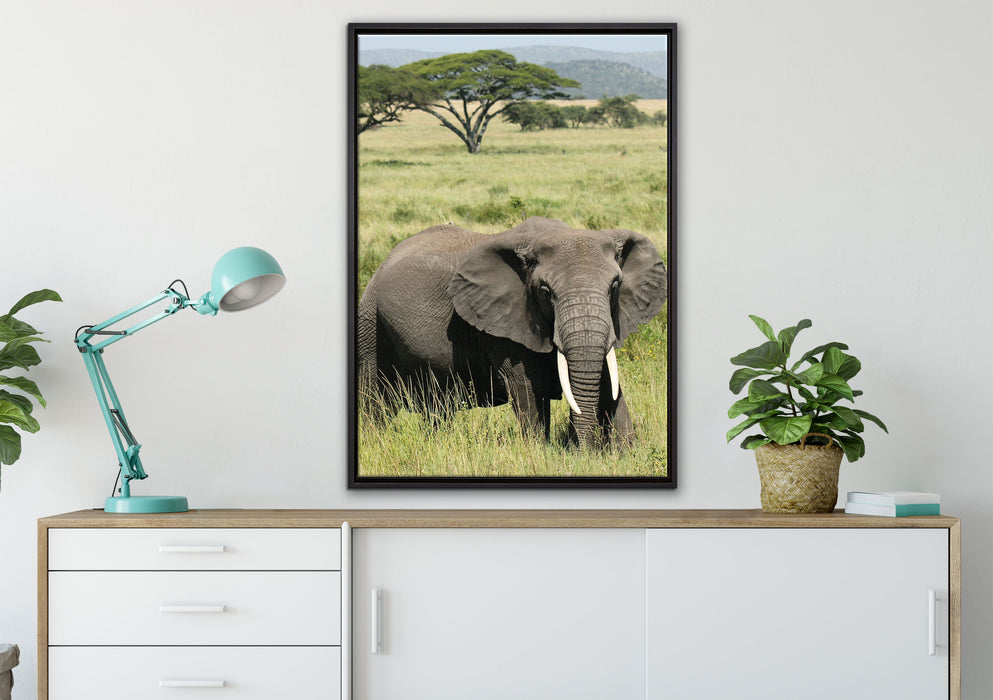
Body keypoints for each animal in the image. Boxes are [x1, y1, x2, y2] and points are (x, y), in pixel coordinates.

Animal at [357, 216, 668, 450]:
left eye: (615, 286)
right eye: (545, 291)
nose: (581, 448)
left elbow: (607, 378)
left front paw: (624, 452)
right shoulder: (502, 323)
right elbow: (526, 384)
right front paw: (540, 453)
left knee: (438, 408)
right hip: (370, 321)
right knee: (375, 398)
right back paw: (375, 444)